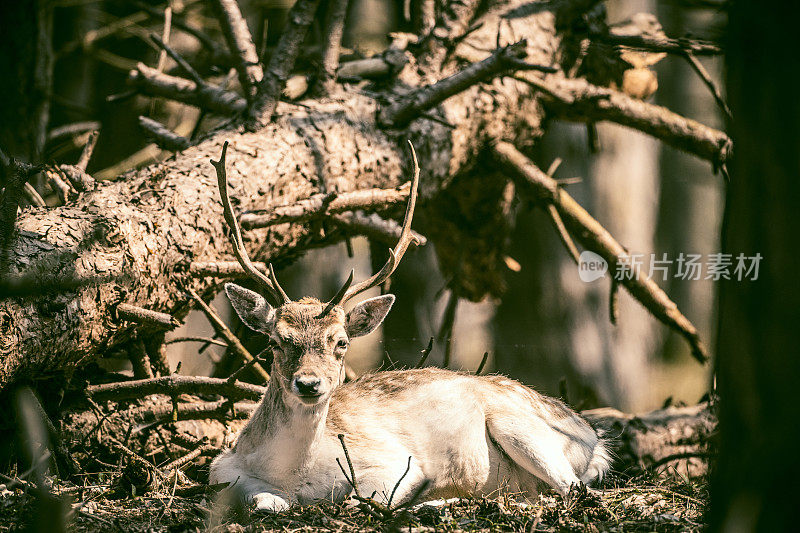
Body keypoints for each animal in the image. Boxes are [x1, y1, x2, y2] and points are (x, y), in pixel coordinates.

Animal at [208, 140, 612, 512]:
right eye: (275, 341)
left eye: (341, 342)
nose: (309, 383)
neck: (294, 475)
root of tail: (595, 438)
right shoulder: (219, 470)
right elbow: (261, 499)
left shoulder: (395, 464)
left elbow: (362, 498)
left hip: (523, 429)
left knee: (573, 490)